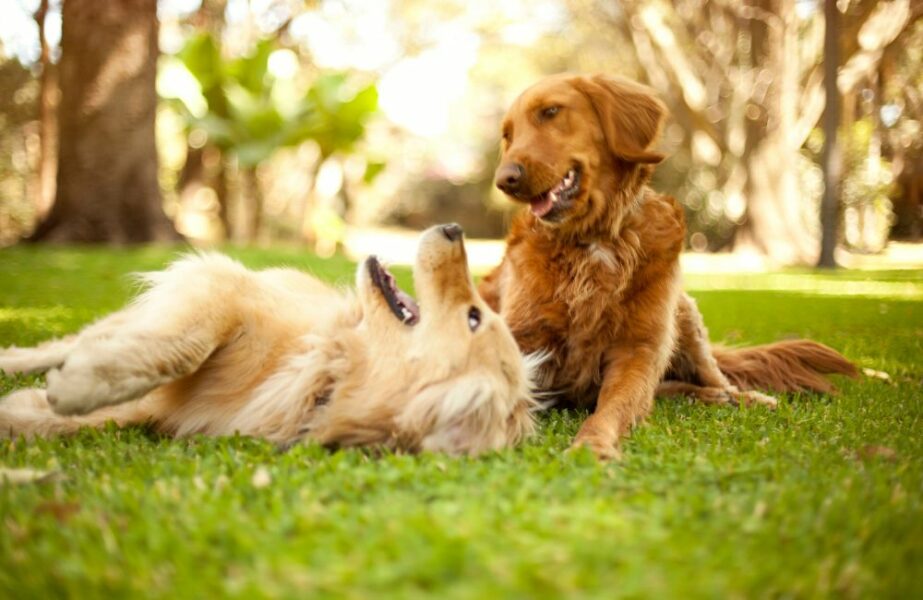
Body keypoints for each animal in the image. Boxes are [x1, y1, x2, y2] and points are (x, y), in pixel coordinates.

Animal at [1, 225, 540, 454]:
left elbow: (69, 420)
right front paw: (81, 385)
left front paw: (35, 407)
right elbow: (182, 347)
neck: (328, 370)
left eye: (474, 317)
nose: (454, 227)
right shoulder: (223, 287)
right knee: (67, 343)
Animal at [480, 75, 856, 460]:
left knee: (712, 377)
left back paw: (741, 397)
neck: (594, 240)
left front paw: (592, 445)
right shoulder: (521, 338)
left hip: (685, 317)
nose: (504, 179)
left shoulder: (639, 350)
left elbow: (612, 408)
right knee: (671, 389)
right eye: (508, 135)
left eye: (551, 111)